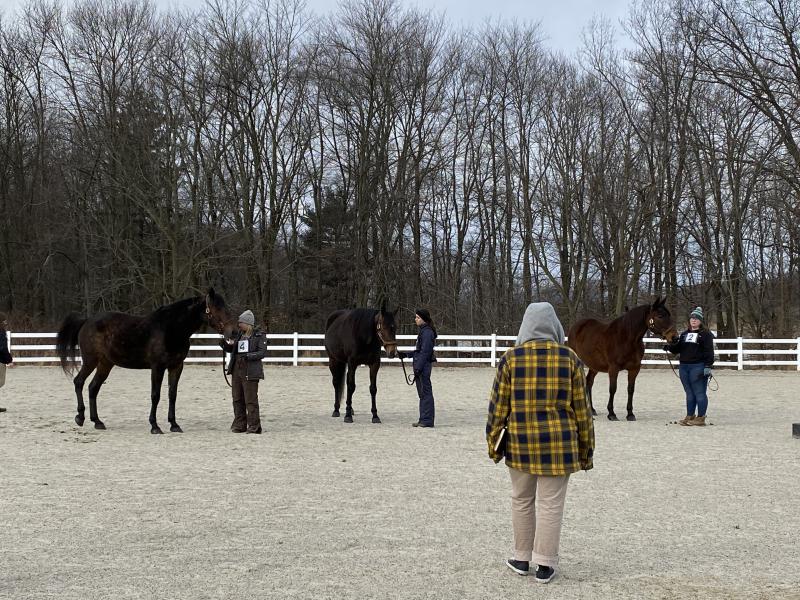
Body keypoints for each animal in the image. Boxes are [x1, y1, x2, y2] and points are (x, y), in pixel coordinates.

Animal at [55, 290, 236, 434]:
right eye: (217, 308)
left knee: (93, 388)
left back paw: (97, 422)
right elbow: (155, 395)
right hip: (90, 360)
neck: (171, 329)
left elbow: (172, 395)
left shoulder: (176, 366)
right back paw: (80, 417)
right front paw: (155, 426)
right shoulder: (157, 367)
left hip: (105, 364)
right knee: (79, 382)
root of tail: (87, 321)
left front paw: (174, 424)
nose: (233, 332)